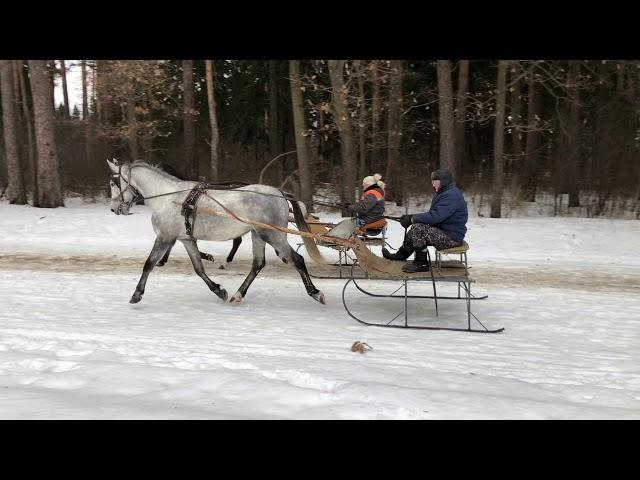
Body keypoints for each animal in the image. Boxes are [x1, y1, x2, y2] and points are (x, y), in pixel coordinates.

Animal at [108, 159, 324, 306]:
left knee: (297, 260)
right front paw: (219, 290)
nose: (114, 208)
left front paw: (137, 294)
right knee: (258, 264)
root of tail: (279, 192)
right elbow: (198, 268)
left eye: (113, 182)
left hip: (273, 235)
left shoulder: (165, 237)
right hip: (258, 235)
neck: (168, 197)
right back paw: (238, 294)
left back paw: (315, 292)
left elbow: (148, 264)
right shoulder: (186, 239)